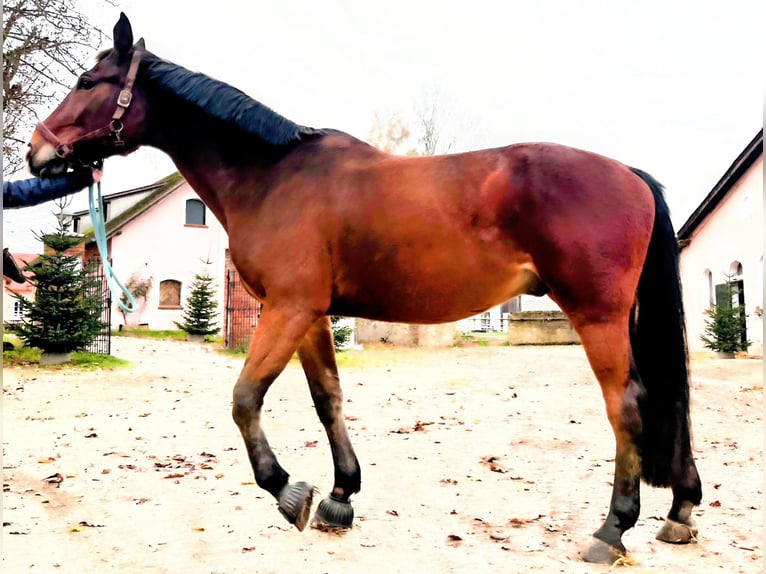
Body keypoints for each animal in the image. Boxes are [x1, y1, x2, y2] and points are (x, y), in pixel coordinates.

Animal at [28, 13, 704, 568]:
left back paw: (613, 529)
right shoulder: (310, 315)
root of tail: (630, 175)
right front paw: (339, 496)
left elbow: (245, 399)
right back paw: (679, 511)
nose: (36, 151)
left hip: (598, 317)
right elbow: (327, 398)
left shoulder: (288, 307)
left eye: (87, 81)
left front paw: (288, 490)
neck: (272, 176)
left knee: (628, 406)